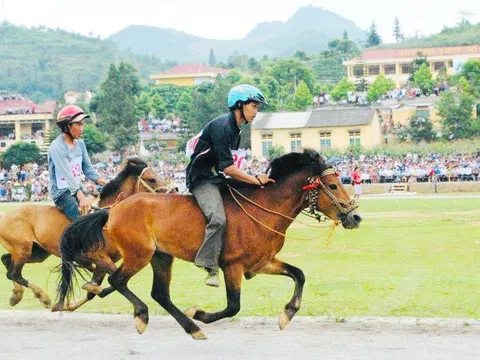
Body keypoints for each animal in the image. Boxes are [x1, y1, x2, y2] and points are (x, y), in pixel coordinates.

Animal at [0, 158, 169, 310]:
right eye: (152, 179)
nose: (172, 191)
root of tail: (5, 215)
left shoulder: (104, 262)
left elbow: (97, 290)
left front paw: (68, 304)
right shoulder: (100, 257)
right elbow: (108, 282)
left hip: (37, 252)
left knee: (7, 263)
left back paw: (17, 294)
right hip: (23, 249)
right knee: (14, 273)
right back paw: (43, 297)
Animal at [54, 148, 362, 338]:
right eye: (333, 185)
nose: (355, 216)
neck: (264, 208)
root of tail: (113, 210)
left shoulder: (261, 263)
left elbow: (299, 274)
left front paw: (287, 313)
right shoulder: (233, 266)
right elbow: (233, 306)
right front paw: (200, 313)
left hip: (161, 257)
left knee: (159, 294)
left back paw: (191, 328)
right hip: (139, 254)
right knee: (118, 280)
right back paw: (144, 315)